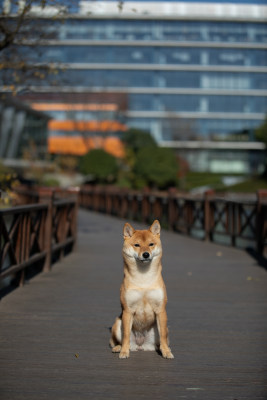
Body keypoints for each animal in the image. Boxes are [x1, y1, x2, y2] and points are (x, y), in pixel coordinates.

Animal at [110, 219, 175, 360]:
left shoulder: (160, 310)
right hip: (118, 323)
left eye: (151, 244)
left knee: (161, 340)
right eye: (137, 245)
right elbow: (126, 335)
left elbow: (163, 336)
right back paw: (119, 348)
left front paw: (166, 352)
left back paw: (162, 348)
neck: (144, 279)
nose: (146, 254)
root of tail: (141, 345)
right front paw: (124, 352)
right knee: (121, 340)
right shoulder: (127, 310)